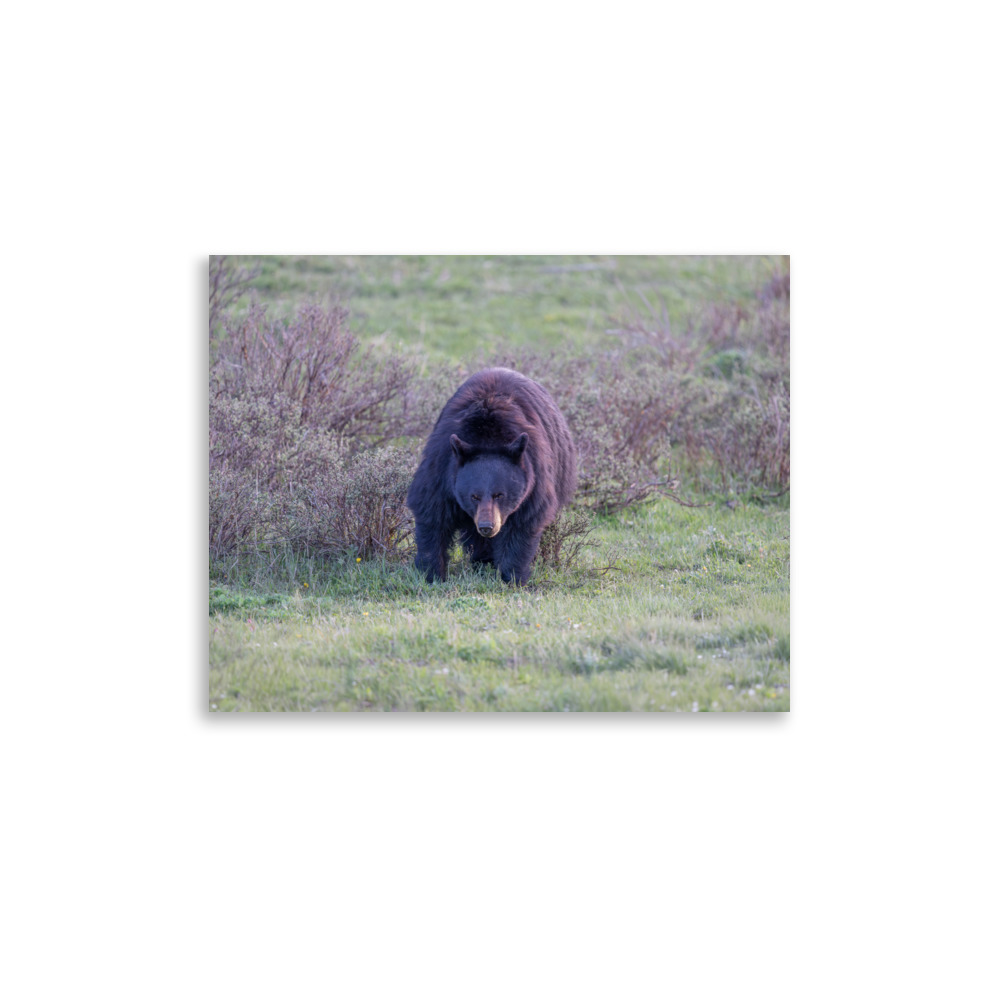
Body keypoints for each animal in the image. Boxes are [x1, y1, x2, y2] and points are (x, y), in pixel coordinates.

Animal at [406, 367, 577, 584]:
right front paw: (432, 574)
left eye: (499, 495)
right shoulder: (442, 468)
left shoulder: (534, 476)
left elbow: (522, 524)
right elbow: (432, 513)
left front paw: (512, 577)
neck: (487, 437)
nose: (487, 527)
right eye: (474, 496)